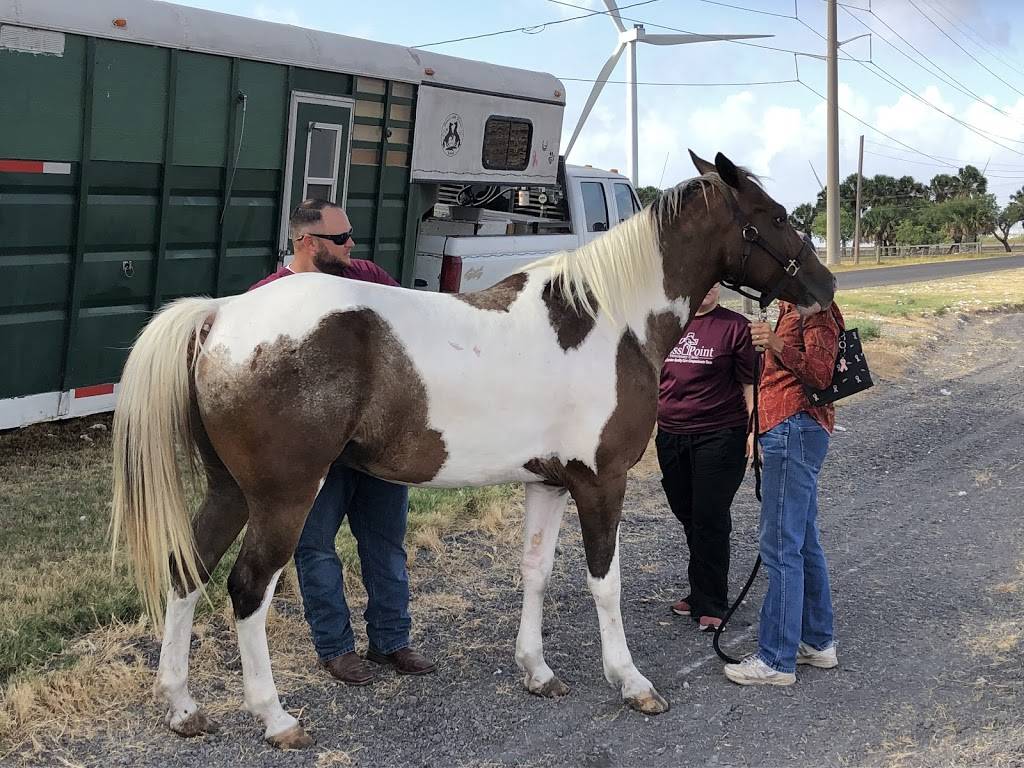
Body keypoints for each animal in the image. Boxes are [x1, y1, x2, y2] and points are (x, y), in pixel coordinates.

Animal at [112, 151, 835, 753]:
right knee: (247, 588)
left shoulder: (549, 482)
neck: (606, 320)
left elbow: (536, 571)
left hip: (231, 491)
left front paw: (537, 671)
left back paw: (182, 707)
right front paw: (631, 682)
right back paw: (275, 717)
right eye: (774, 217)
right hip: (284, 497)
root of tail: (220, 316)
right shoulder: (602, 482)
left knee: (187, 571)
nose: (825, 286)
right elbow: (605, 584)